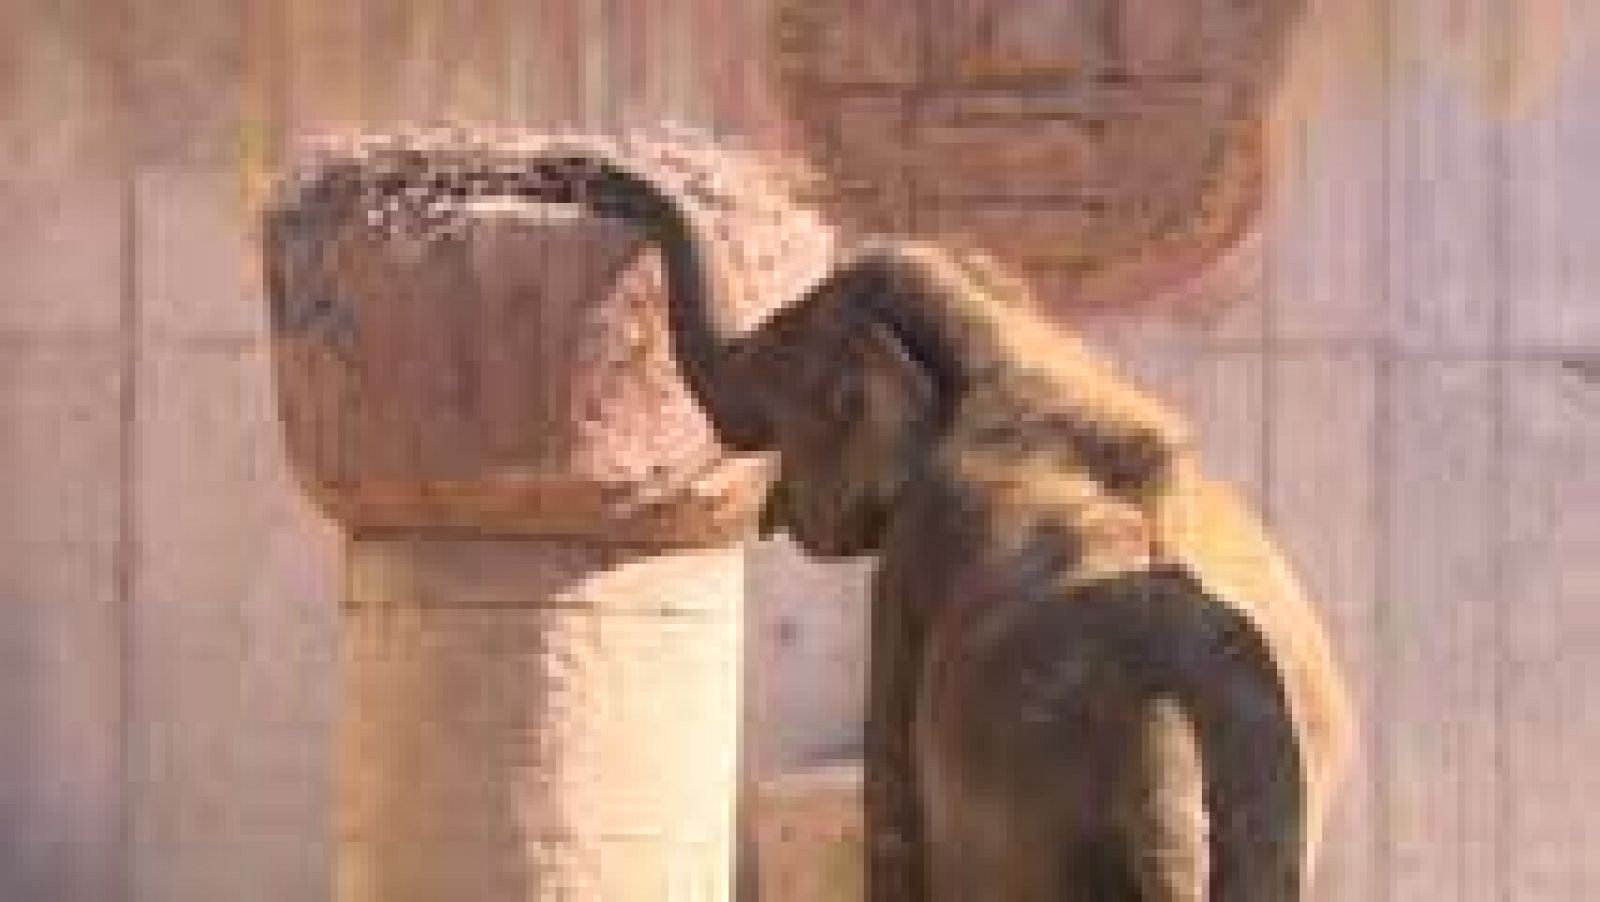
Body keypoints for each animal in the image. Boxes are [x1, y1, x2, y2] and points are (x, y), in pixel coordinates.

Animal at [374, 149, 1356, 901]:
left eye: (780, 375)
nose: (553, 171)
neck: (1007, 335)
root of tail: (1172, 736)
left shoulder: (915, 563)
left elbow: (890, 806)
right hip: (1266, 822)